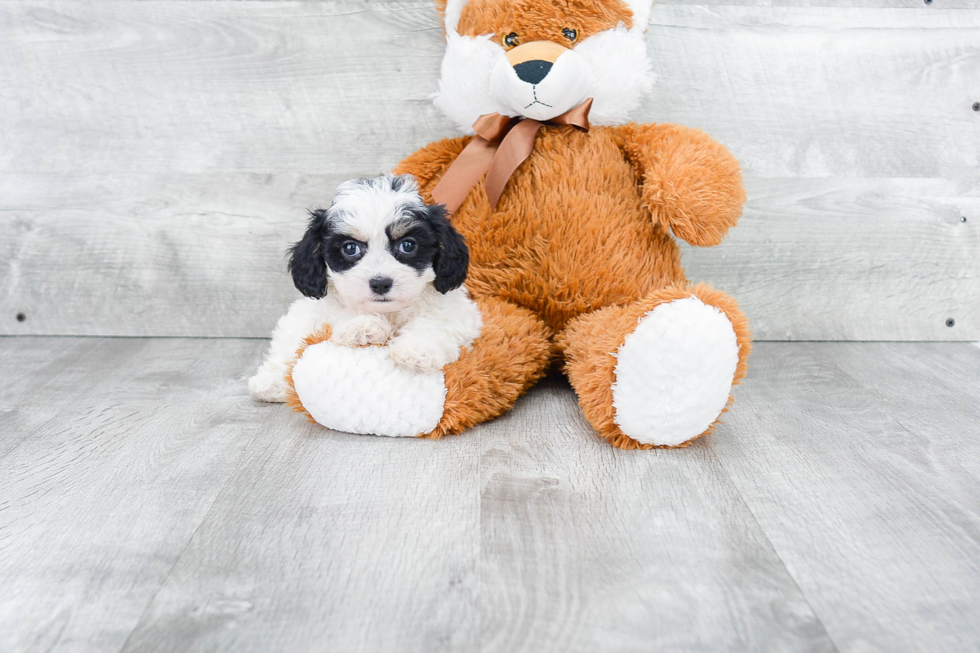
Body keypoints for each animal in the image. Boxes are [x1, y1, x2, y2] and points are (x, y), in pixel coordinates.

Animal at [249, 173, 482, 402]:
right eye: (350, 248)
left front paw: (416, 350)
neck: (388, 312)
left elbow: (435, 321)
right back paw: (271, 383)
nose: (380, 283)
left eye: (408, 245)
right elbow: (336, 312)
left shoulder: (459, 313)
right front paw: (363, 326)